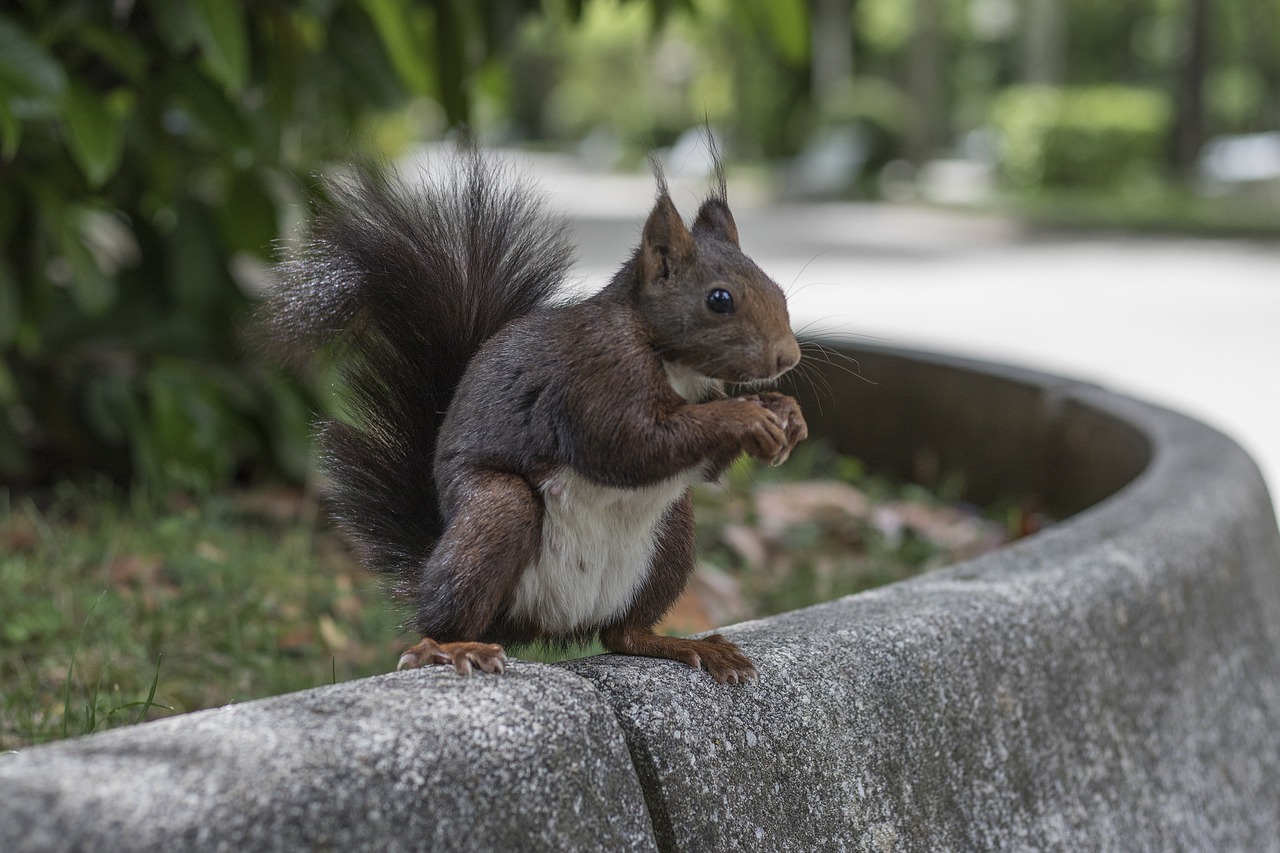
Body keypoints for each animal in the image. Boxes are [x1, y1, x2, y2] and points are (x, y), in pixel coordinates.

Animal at [267, 142, 808, 681]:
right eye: (719, 299)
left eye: (779, 291)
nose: (788, 358)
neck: (672, 362)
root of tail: (546, 623)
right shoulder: (595, 379)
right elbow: (630, 445)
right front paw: (746, 417)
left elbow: (700, 459)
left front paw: (786, 412)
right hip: (498, 513)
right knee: (441, 617)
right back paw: (453, 648)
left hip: (672, 536)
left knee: (621, 634)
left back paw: (681, 645)